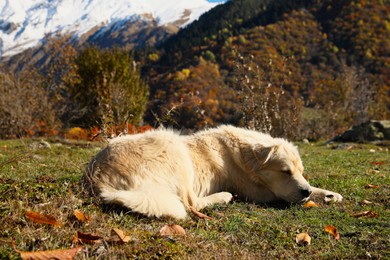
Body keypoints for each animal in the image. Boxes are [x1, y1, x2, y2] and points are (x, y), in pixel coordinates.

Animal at [83, 125, 342, 218]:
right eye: (285, 172)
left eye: (300, 171)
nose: (305, 192)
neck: (242, 155)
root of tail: (98, 174)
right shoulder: (258, 191)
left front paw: (330, 194)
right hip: (174, 148)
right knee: (190, 203)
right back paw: (223, 197)